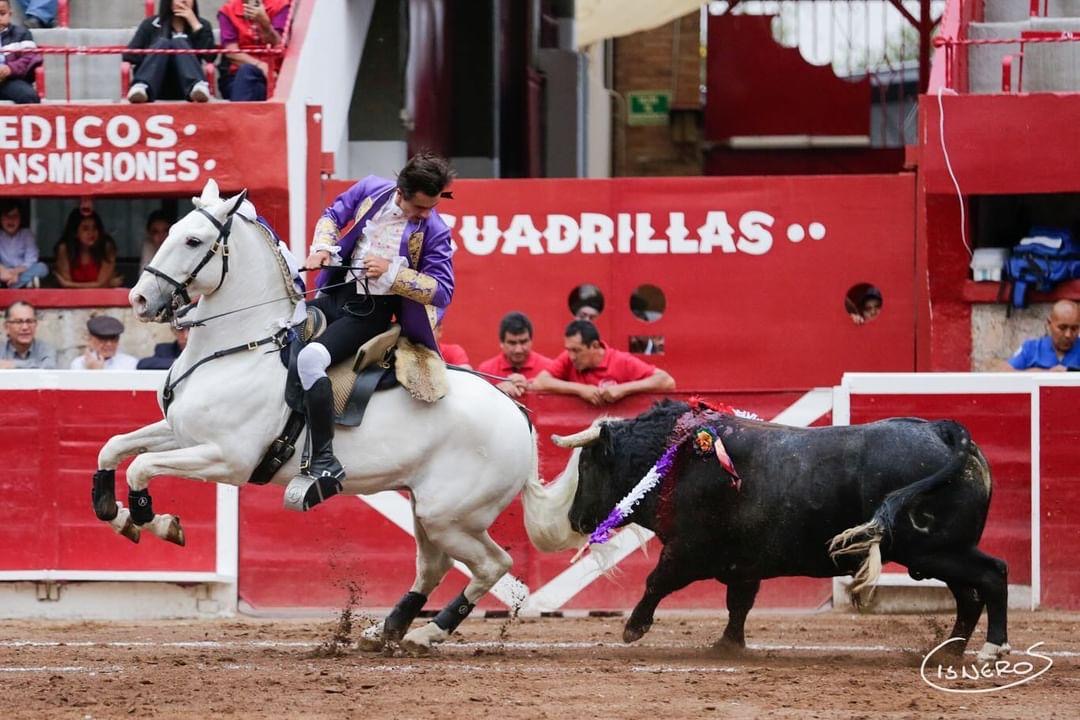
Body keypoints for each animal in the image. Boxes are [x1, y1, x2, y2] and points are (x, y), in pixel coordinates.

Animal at [92, 181, 561, 651]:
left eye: (193, 240)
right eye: (170, 231)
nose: (138, 299)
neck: (242, 348)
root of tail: (517, 411)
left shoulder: (226, 458)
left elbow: (140, 467)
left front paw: (156, 522)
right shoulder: (182, 434)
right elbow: (113, 449)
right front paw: (116, 513)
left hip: (451, 516)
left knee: (493, 565)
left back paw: (426, 632)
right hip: (426, 510)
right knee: (434, 567)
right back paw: (386, 630)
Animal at [527, 403, 1006, 660]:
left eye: (589, 466)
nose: (575, 519)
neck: (676, 458)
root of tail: (944, 431)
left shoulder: (687, 551)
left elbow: (656, 581)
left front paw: (633, 629)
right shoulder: (744, 564)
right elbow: (739, 604)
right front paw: (727, 645)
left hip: (935, 551)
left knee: (993, 574)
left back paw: (992, 648)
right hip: (940, 553)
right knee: (970, 595)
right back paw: (950, 650)